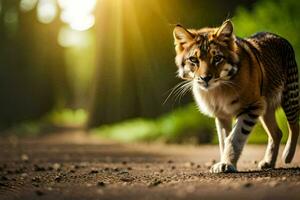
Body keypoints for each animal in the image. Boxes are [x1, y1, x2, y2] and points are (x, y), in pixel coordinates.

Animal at [172, 20, 298, 173]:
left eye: (217, 58)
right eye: (193, 59)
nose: (205, 78)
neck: (218, 89)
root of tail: (279, 37)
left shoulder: (250, 107)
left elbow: (235, 137)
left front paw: (227, 164)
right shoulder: (222, 115)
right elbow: (224, 140)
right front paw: (225, 162)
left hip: (290, 96)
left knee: (294, 126)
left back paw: (287, 156)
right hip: (266, 108)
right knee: (277, 133)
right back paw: (269, 162)